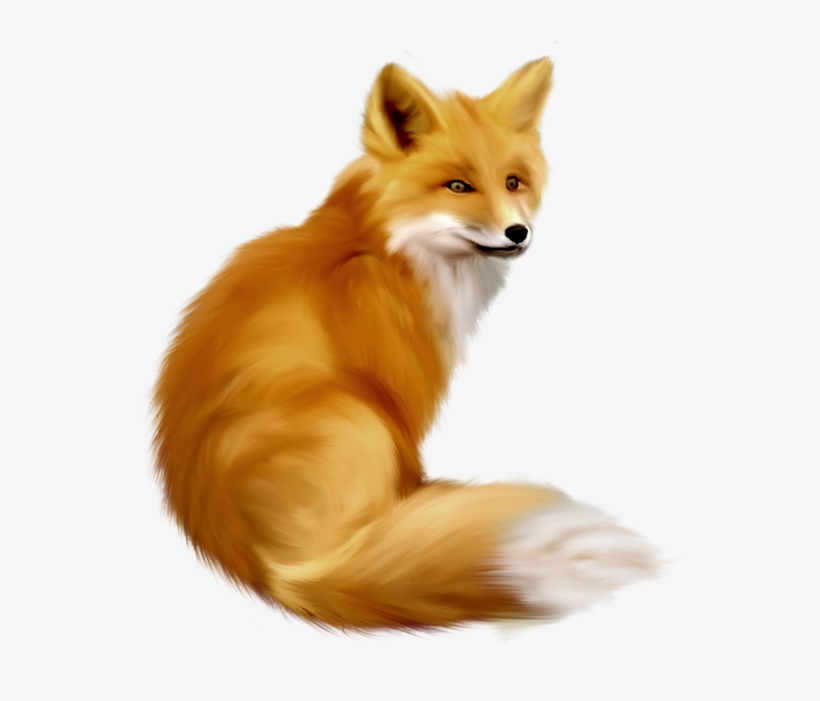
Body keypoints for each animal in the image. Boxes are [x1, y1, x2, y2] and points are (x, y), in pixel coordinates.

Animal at [153, 58, 659, 630]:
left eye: (514, 182)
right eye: (458, 185)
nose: (518, 232)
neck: (383, 247)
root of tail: (273, 573)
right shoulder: (400, 387)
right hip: (358, 417)